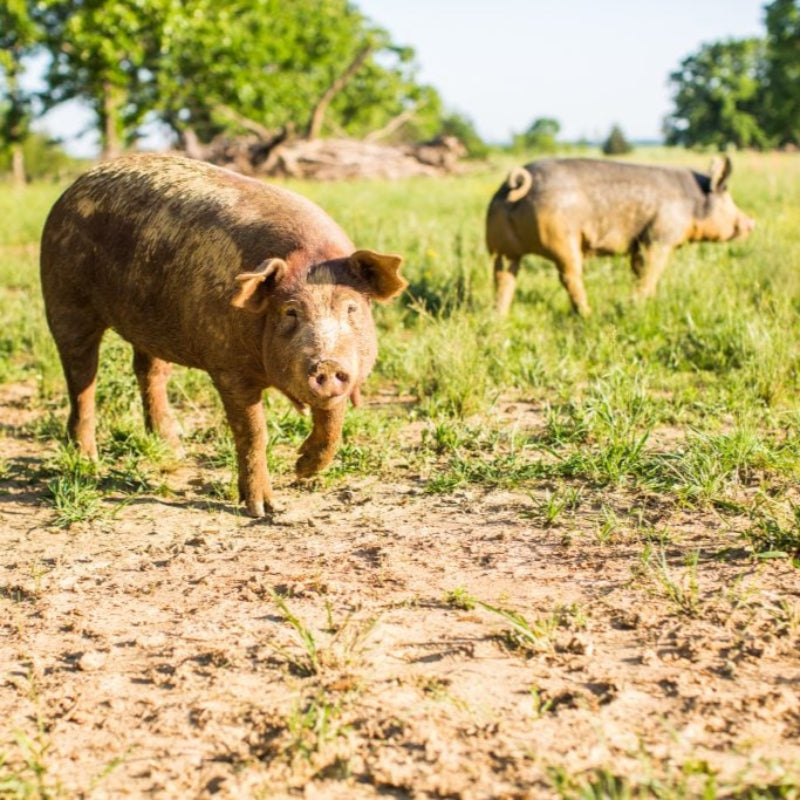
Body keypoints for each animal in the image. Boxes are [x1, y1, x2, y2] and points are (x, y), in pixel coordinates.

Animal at [40, 153, 406, 517]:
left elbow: (333, 423)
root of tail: (74, 186)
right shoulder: (228, 367)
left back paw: (173, 448)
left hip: (148, 321)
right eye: (291, 312)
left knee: (149, 372)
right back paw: (87, 458)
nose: (326, 364)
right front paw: (262, 509)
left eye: (351, 309)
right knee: (81, 377)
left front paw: (302, 470)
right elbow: (253, 431)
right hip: (64, 299)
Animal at [486, 156, 755, 316]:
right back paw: (587, 314)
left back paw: (498, 316)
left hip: (501, 246)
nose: (751, 223)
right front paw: (637, 305)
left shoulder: (637, 243)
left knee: (503, 276)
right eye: (728, 199)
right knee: (569, 276)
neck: (692, 204)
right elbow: (650, 272)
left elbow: (637, 269)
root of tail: (518, 183)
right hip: (562, 240)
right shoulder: (659, 237)